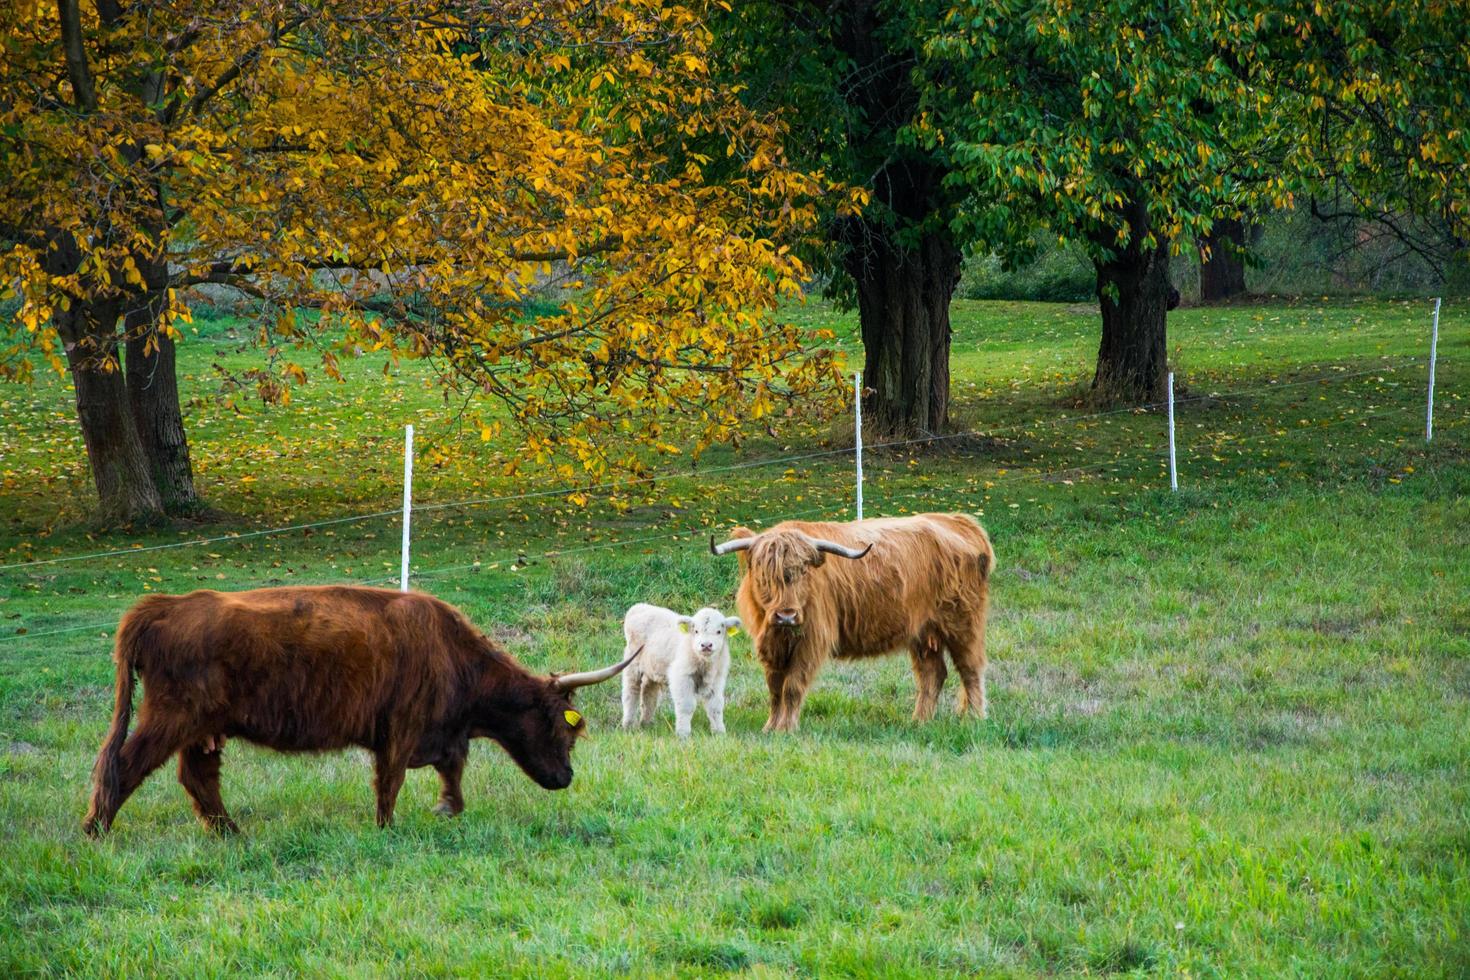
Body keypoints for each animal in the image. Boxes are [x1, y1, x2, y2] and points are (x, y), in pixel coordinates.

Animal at [84, 590, 637, 834]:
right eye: (561, 730)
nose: (566, 778)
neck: (455, 657)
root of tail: (163, 604)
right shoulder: (400, 728)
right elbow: (390, 781)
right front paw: (386, 828)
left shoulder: (442, 732)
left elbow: (453, 770)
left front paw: (447, 808)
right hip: (170, 716)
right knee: (124, 765)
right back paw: (98, 830)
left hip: (204, 728)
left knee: (198, 777)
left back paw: (232, 833)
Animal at [620, 602, 740, 740]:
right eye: (696, 631)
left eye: (719, 631)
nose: (706, 645)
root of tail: (639, 606)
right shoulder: (681, 676)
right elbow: (686, 706)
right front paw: (683, 734)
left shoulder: (717, 679)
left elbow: (716, 706)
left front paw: (719, 733)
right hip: (632, 662)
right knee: (631, 692)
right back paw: (629, 725)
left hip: (652, 667)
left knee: (649, 693)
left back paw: (646, 723)